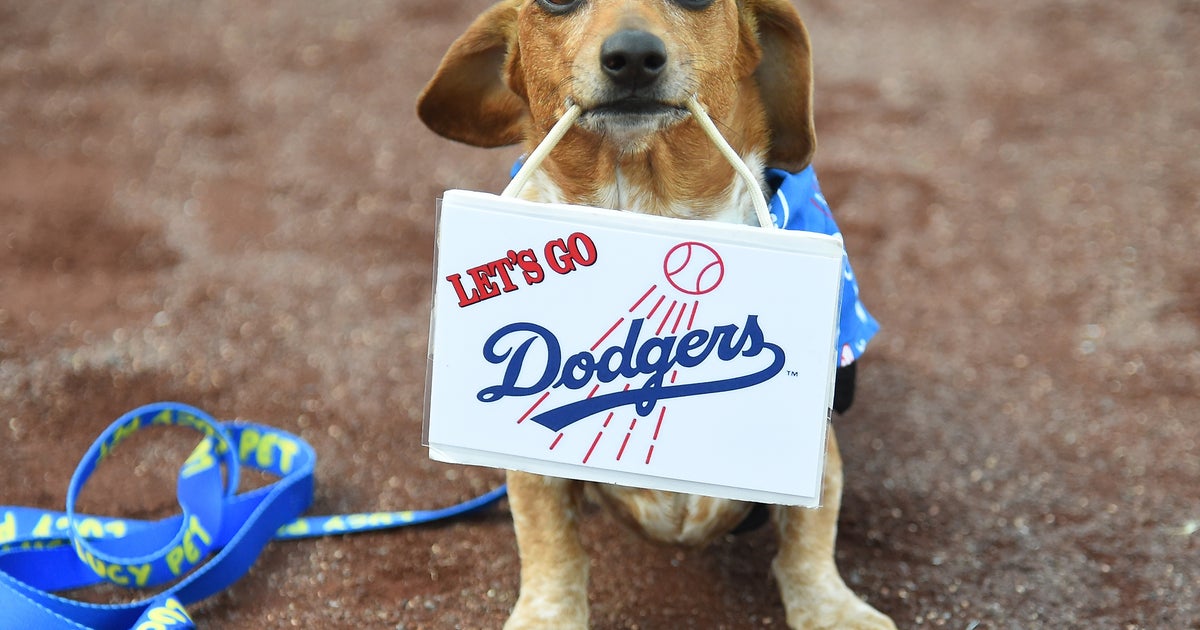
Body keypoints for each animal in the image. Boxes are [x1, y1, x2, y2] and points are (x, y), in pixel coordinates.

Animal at [417, 2, 897, 624]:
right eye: (554, 2)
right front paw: (549, 614)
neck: (648, 210)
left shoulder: (816, 449)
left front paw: (832, 610)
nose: (633, 57)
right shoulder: (530, 469)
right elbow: (550, 547)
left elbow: (808, 539)